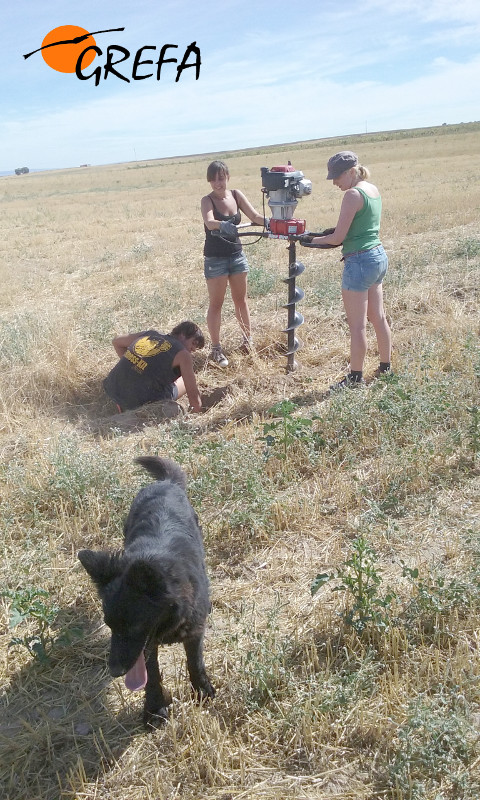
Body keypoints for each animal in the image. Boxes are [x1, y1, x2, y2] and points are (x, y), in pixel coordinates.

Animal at [78, 456, 214, 724]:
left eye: (134, 626)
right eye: (109, 626)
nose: (115, 671)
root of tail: (165, 482)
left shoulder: (193, 630)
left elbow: (195, 662)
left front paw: (202, 690)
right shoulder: (147, 646)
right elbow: (151, 674)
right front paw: (154, 708)